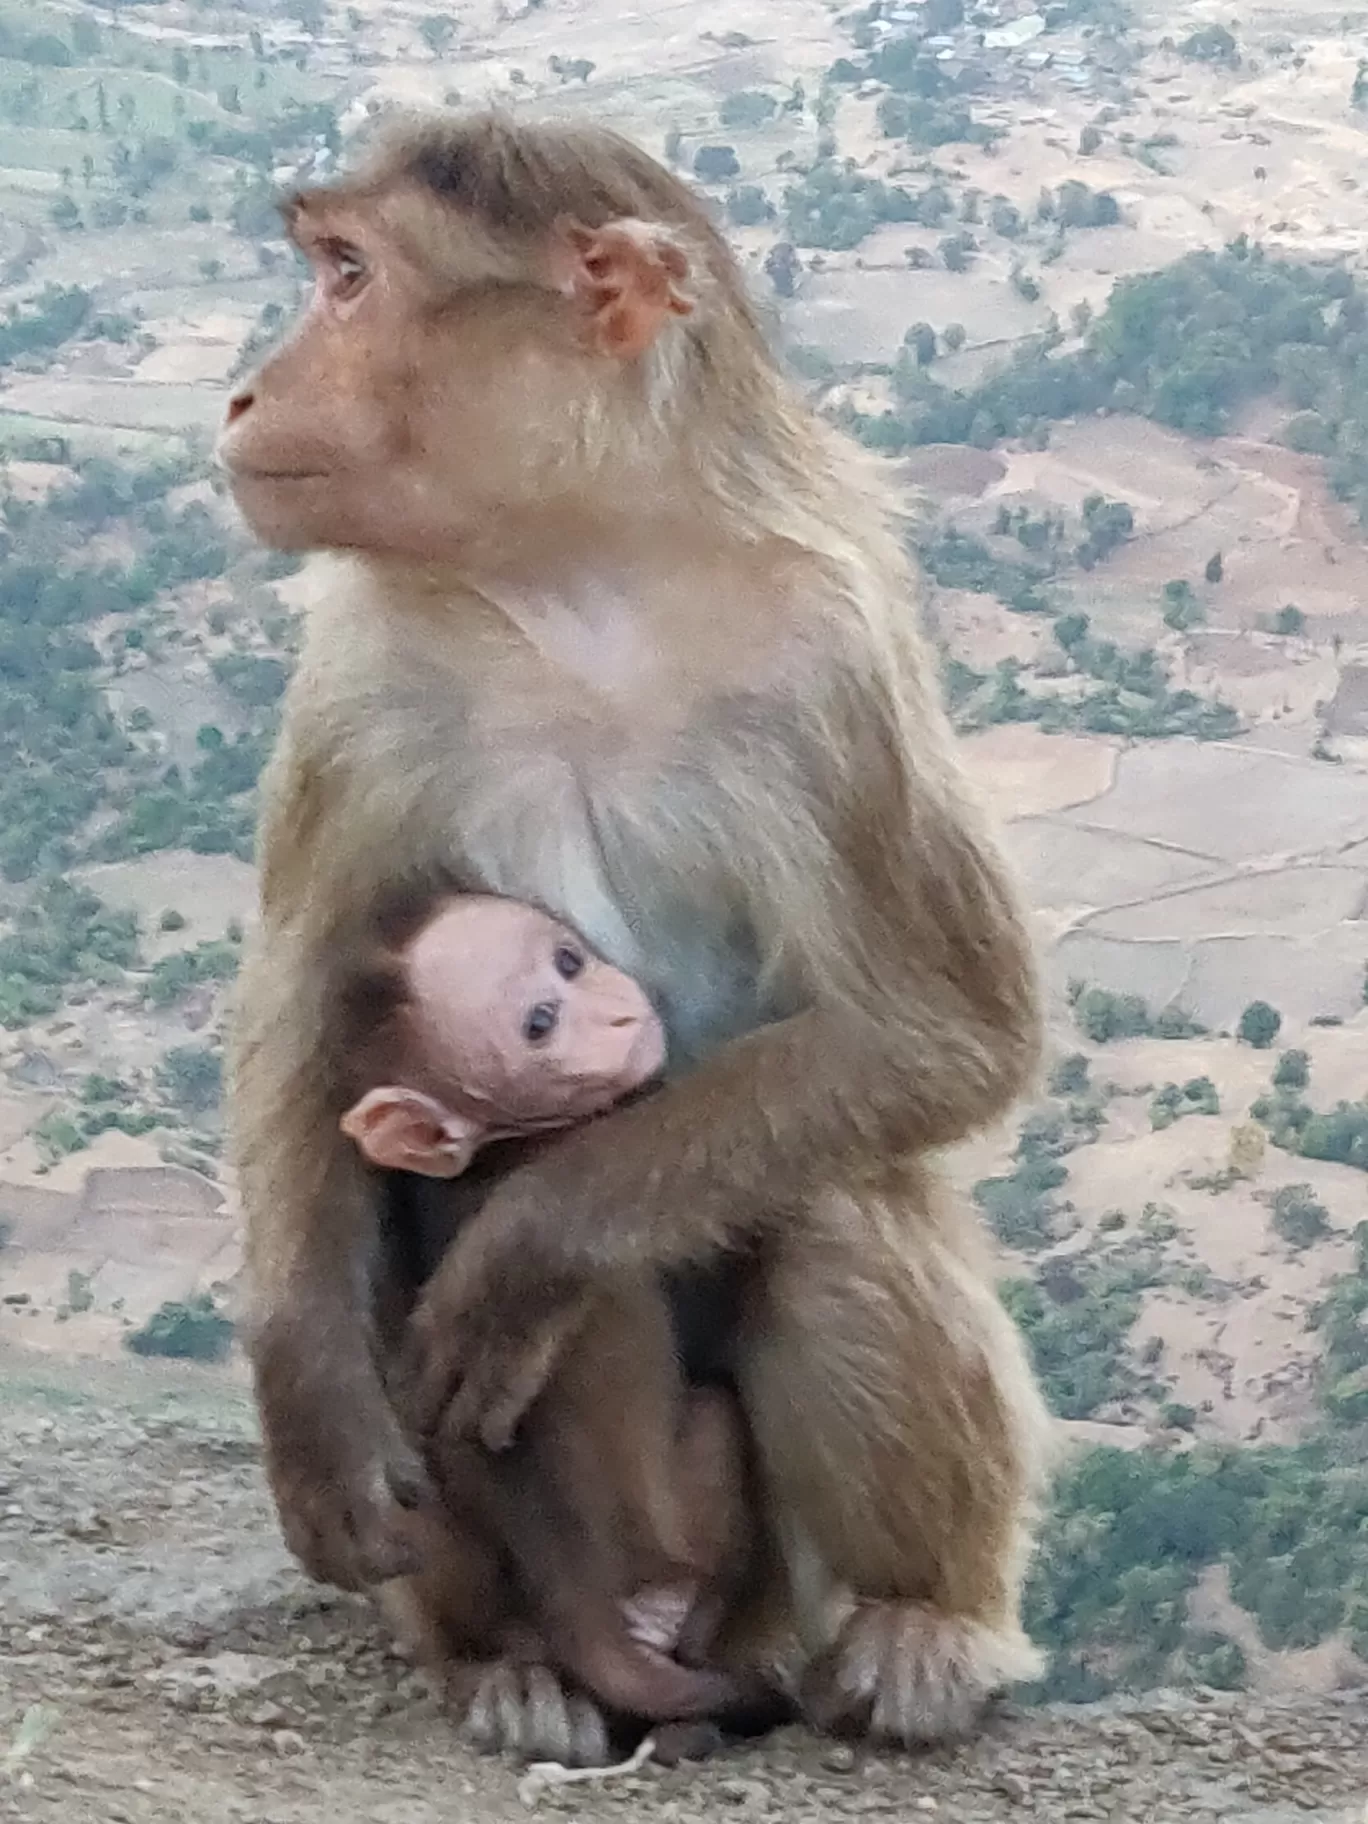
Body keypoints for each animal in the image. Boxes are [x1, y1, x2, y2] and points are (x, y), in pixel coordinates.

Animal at [339, 904, 755, 1729]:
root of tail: (576, 1596)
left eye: (569, 960)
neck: (503, 1143)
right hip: (675, 1524)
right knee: (716, 1414)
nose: (620, 1010)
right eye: (540, 1023)